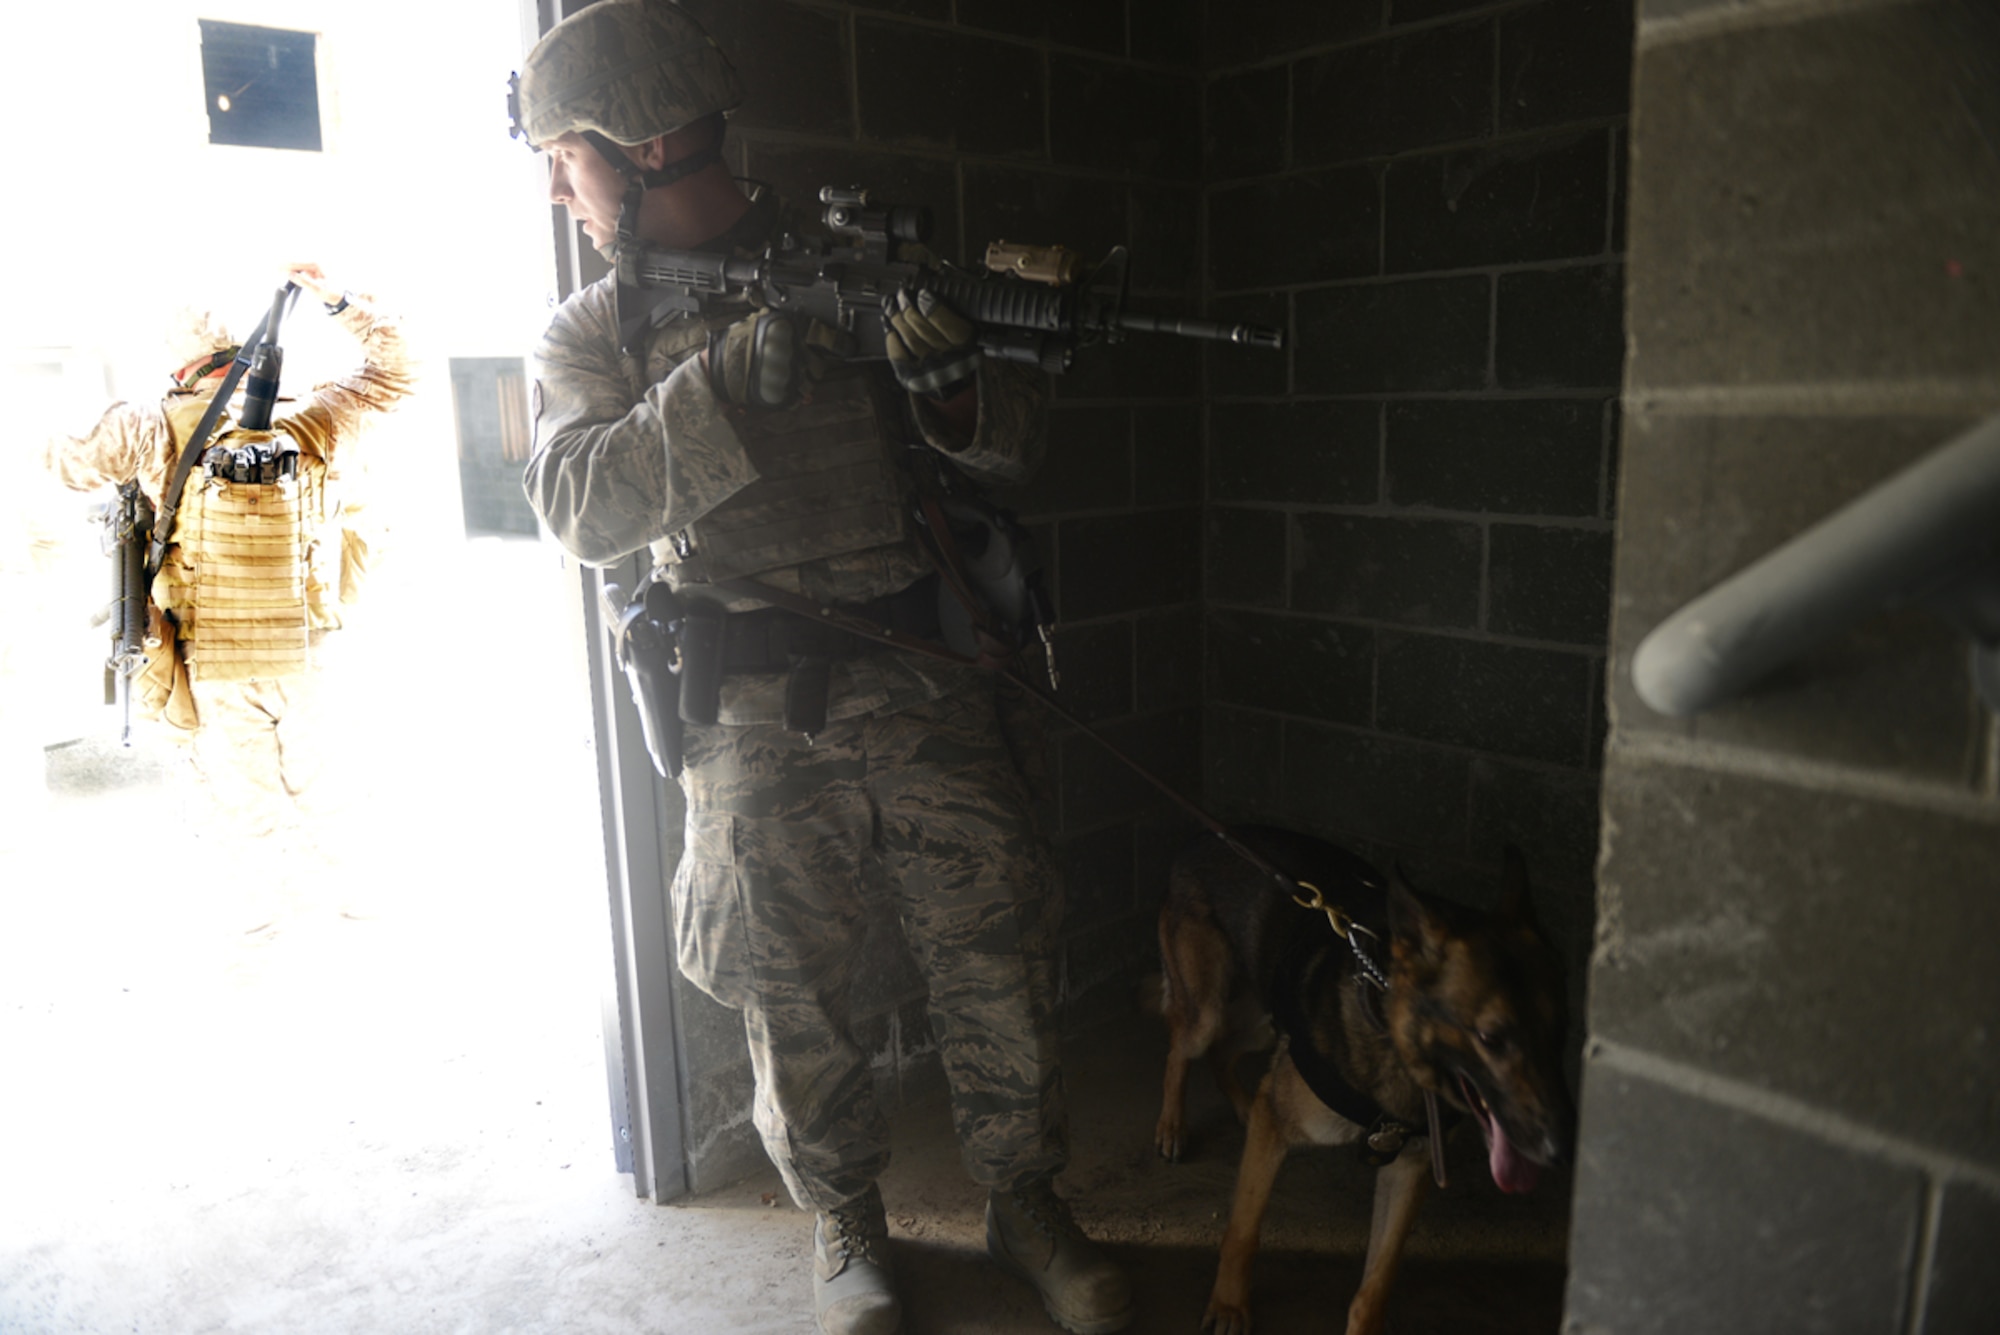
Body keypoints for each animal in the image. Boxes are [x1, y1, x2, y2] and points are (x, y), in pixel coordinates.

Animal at [1160, 823, 1576, 1335]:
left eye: (1561, 1030)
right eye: (1491, 1038)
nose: (1564, 1149)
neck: (1391, 1033)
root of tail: (1202, 840)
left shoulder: (1409, 1167)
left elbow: (1376, 1282)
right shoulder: (1276, 1127)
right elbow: (1243, 1228)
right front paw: (1229, 1306)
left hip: (1263, 1023)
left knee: (1225, 1054)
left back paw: (1240, 1102)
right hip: (1209, 1009)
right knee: (1183, 1047)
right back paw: (1172, 1126)